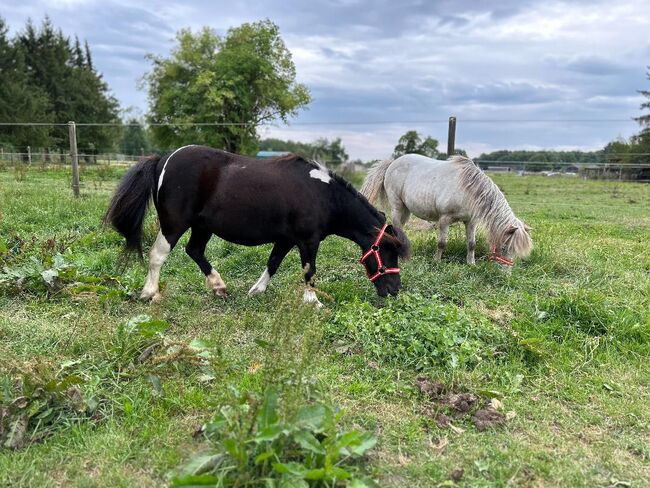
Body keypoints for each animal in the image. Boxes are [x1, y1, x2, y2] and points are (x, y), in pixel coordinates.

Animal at [104, 145, 408, 304]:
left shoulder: (286, 239)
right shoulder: (307, 241)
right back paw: (149, 292)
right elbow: (309, 271)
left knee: (195, 251)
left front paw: (257, 290)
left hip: (203, 226)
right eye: (387, 251)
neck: (324, 195)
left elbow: (273, 263)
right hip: (173, 224)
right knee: (158, 255)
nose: (394, 290)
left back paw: (218, 286)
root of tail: (163, 160)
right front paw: (313, 301)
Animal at [360, 154, 532, 268]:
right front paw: (437, 261)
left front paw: (471, 264)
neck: (467, 190)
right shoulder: (444, 219)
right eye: (504, 247)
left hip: (406, 210)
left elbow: (472, 244)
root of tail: (392, 162)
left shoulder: (471, 221)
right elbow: (442, 243)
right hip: (397, 206)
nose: (506, 273)